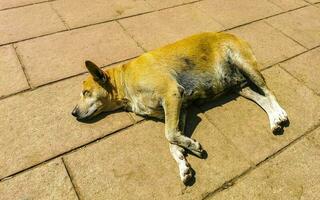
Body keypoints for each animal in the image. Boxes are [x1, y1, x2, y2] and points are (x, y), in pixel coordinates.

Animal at [72, 32, 290, 184]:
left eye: (86, 92)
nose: (73, 113)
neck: (124, 81)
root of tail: (231, 34)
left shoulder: (172, 95)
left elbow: (169, 134)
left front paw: (192, 146)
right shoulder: (179, 109)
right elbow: (172, 141)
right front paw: (183, 163)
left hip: (245, 64)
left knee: (269, 93)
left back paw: (280, 114)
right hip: (237, 86)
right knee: (261, 99)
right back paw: (274, 121)